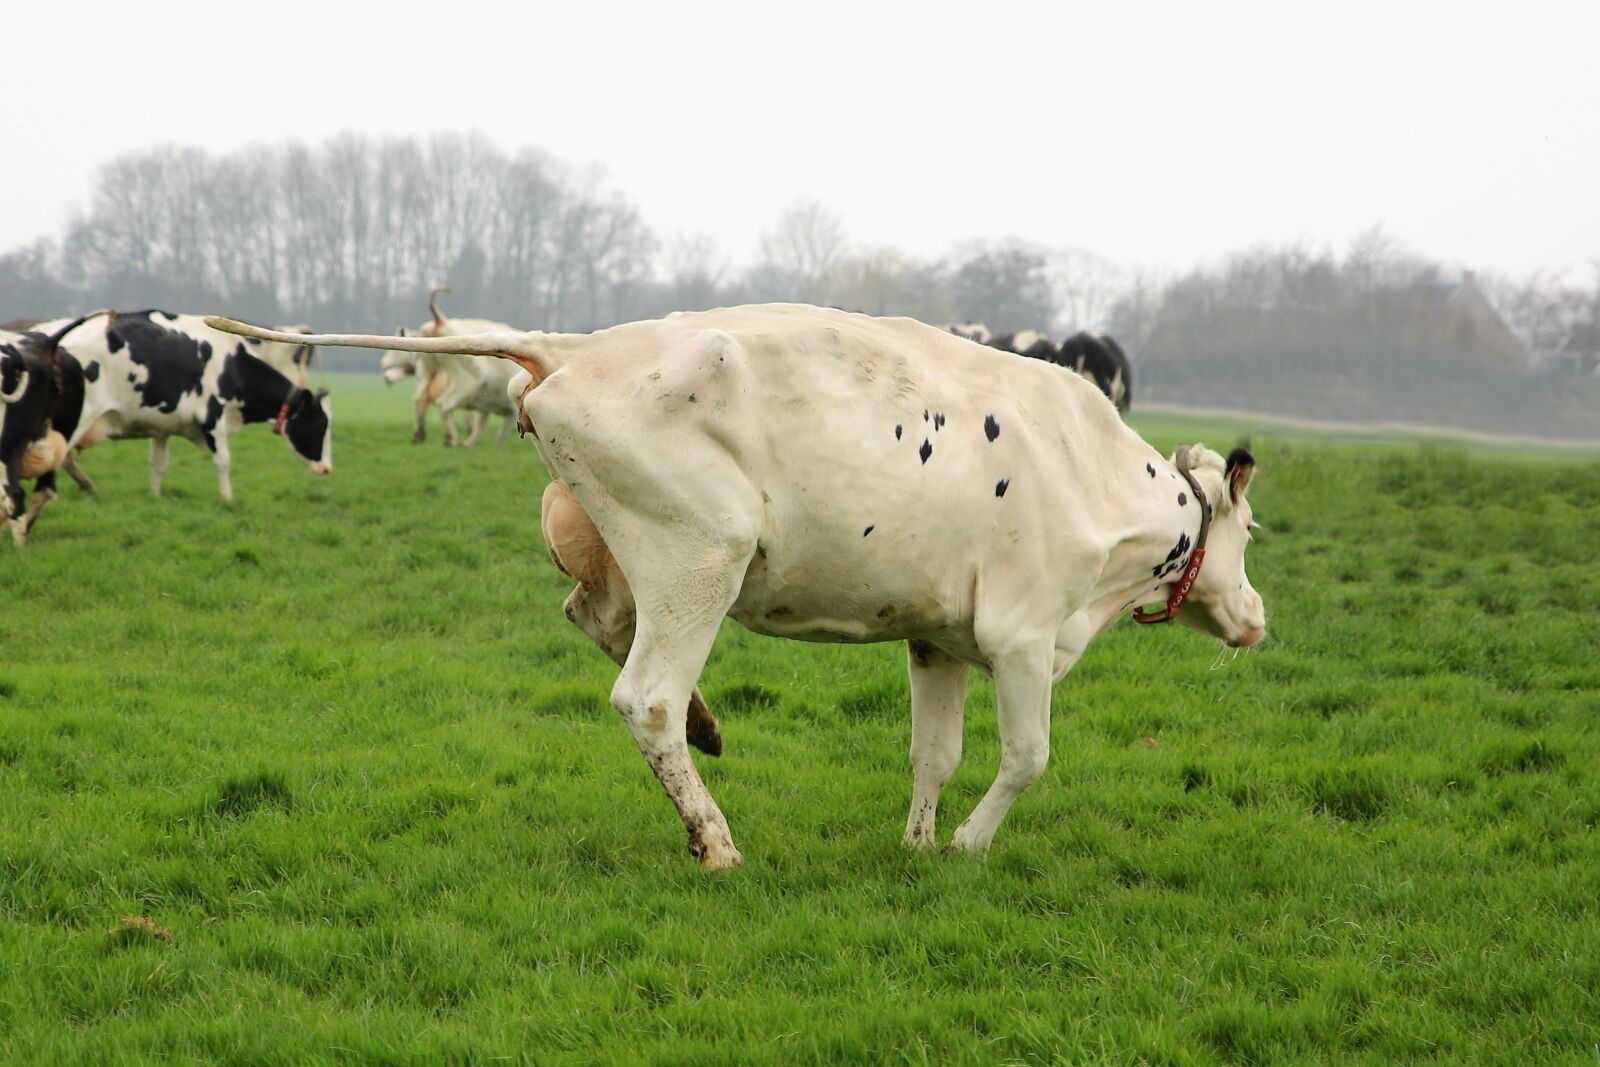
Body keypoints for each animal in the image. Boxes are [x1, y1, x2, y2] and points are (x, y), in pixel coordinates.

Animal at [39, 310, 332, 501]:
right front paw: (227, 498)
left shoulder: (161, 428)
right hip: (78, 417)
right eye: (319, 427)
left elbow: (158, 464)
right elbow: (223, 461)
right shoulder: (213, 417)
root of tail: (52, 340)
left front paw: (155, 496)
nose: (327, 469)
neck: (233, 365)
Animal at [386, 289, 519, 446]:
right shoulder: (506, 409)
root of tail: (440, 322)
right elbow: (497, 434)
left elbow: (482, 429)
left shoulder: (489, 407)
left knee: (420, 401)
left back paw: (420, 436)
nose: (384, 366)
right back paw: (452, 439)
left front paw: (471, 444)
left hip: (430, 373)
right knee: (445, 404)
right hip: (466, 381)